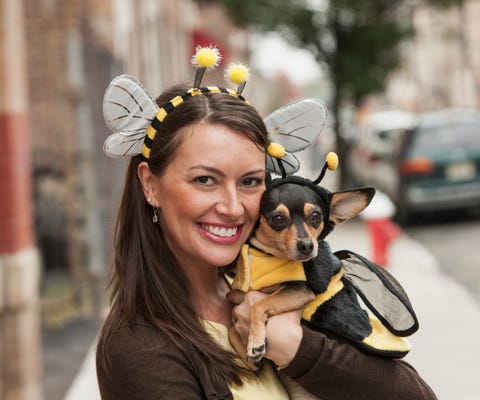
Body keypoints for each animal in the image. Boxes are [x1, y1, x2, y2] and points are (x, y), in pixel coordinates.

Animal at [229, 166, 416, 368]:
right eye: (278, 218)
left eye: (316, 216)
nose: (306, 245)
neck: (267, 256)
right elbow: (232, 330)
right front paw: (252, 350)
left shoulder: (300, 290)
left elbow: (258, 305)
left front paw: (255, 343)